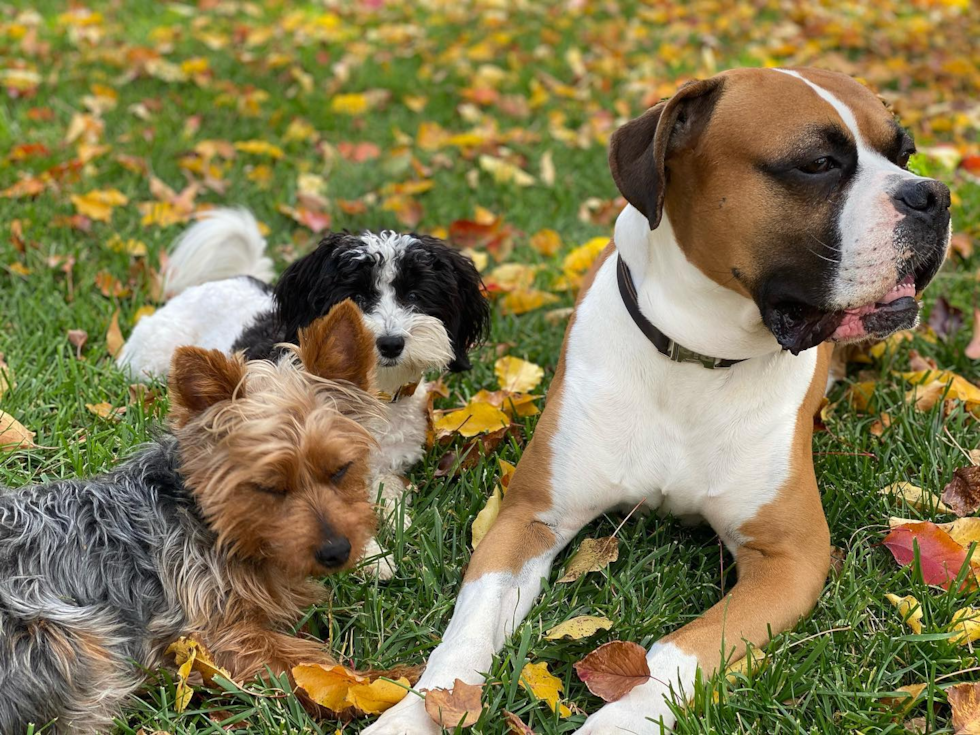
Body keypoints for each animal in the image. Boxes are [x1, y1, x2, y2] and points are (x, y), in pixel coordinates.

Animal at [0, 302, 380, 732]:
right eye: (269, 487)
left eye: (341, 470)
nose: (336, 551)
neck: (210, 522)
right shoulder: (207, 632)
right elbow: (304, 664)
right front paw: (378, 684)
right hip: (65, 636)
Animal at [120, 208, 488, 580]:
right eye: (356, 297)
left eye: (414, 296)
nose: (390, 342)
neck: (371, 395)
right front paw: (372, 556)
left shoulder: (383, 463)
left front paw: (397, 523)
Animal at [366, 66, 948, 732]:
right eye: (819, 164)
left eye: (906, 155)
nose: (932, 194)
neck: (695, 359)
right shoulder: (527, 520)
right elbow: (465, 635)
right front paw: (415, 714)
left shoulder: (790, 560)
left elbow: (677, 652)